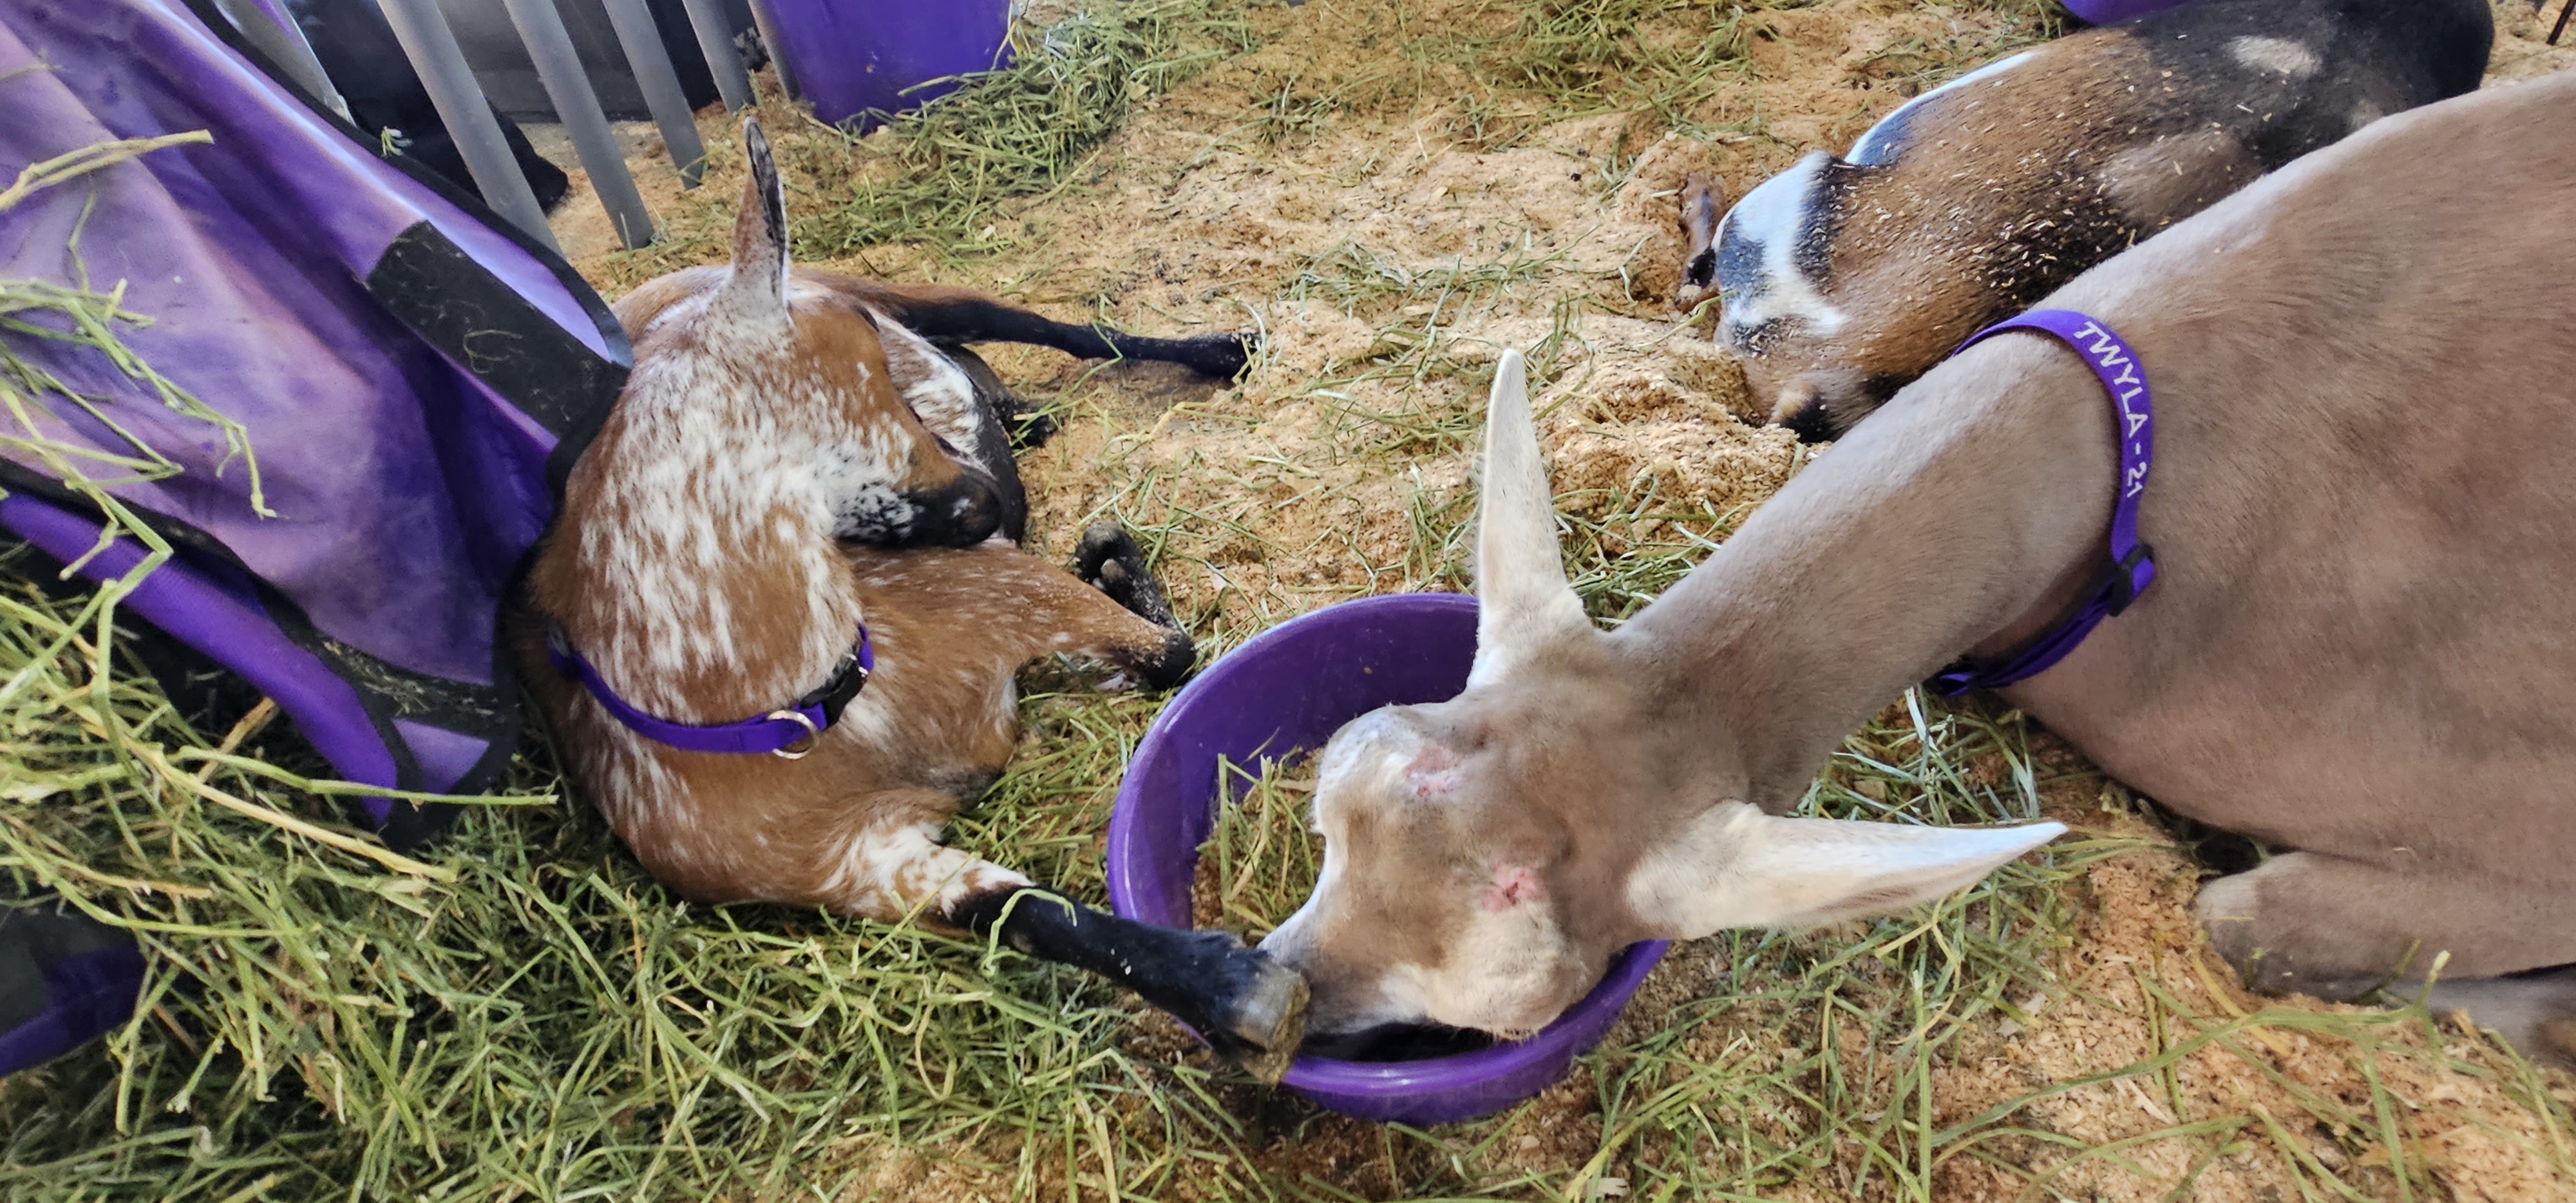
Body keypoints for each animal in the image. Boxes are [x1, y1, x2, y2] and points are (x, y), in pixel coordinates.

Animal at [512, 121, 1306, 1073]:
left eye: (862, 342)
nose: (986, 496)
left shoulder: (1020, 593)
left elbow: (1170, 655)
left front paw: (1109, 554)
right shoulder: (858, 862)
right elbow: (1019, 910)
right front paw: (1235, 991)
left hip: (913, 288)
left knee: (1052, 326)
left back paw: (1219, 351)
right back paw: (1027, 414)